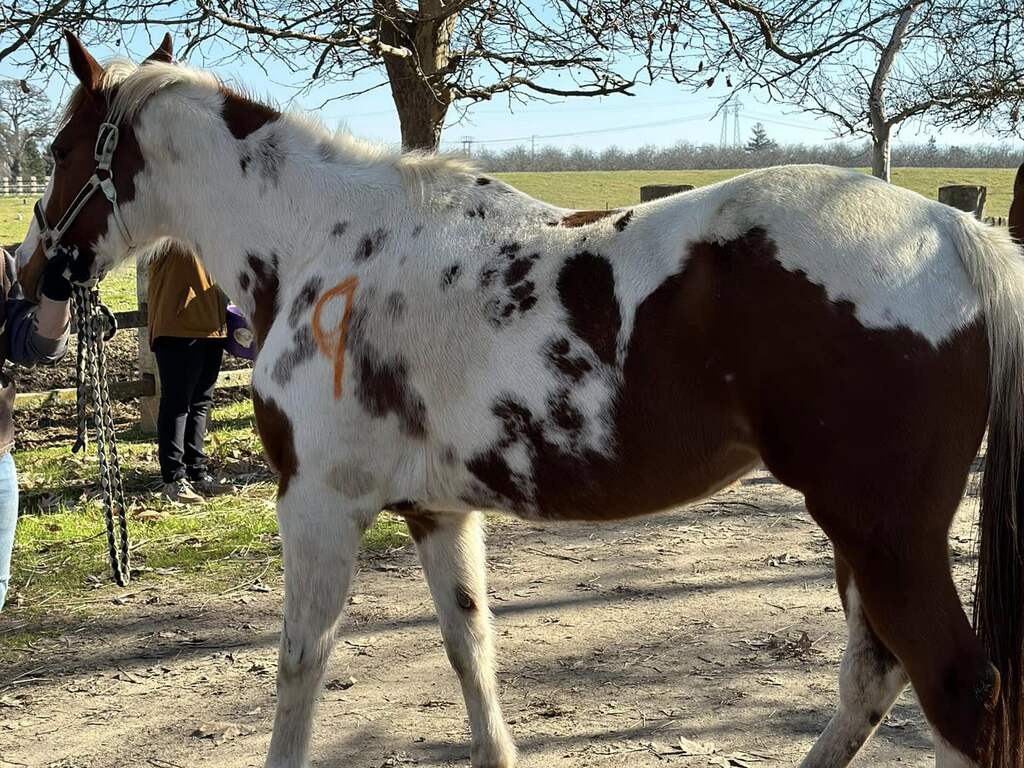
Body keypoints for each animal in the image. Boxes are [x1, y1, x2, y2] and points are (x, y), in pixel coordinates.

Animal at [18, 31, 1024, 768]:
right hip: (859, 534)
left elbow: (301, 665)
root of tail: (953, 234)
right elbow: (472, 653)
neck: (326, 241)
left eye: (61, 150)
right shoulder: (437, 512)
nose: (31, 277)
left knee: (954, 692)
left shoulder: (317, 506)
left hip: (880, 534)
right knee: (876, 678)